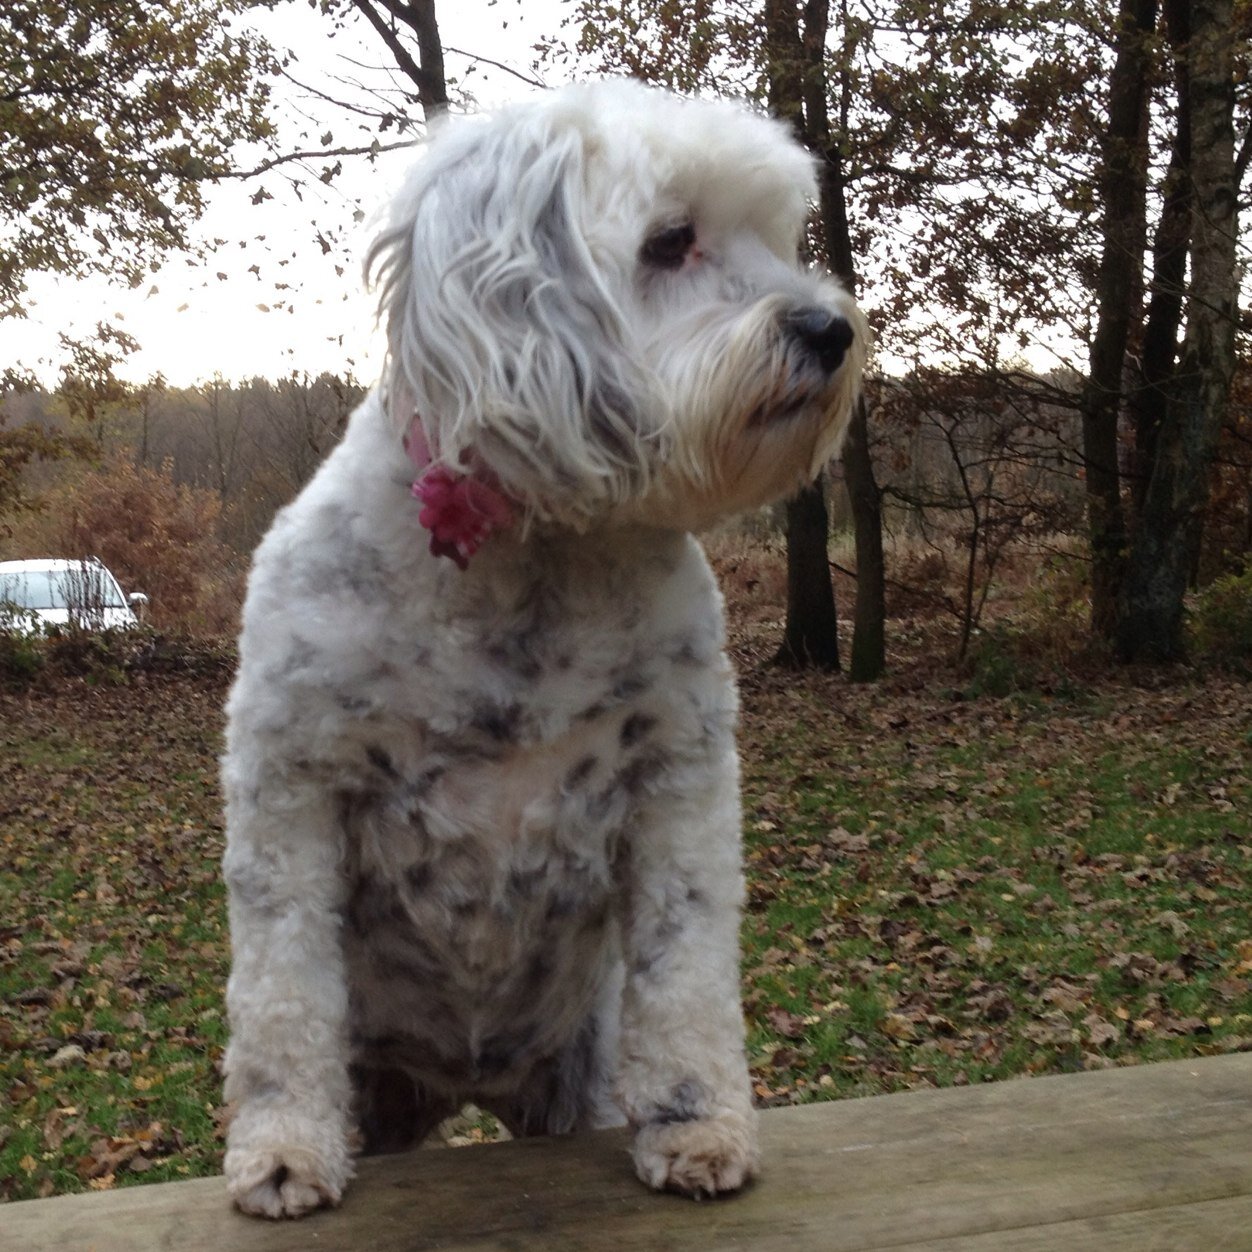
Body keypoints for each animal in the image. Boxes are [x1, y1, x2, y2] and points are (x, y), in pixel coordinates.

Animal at [222, 75, 861, 1211]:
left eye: (778, 234)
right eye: (670, 240)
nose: (831, 328)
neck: (536, 554)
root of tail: (461, 1083)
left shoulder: (680, 785)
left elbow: (687, 971)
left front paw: (698, 1124)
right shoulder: (288, 788)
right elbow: (283, 990)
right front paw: (285, 1148)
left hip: (576, 1076)